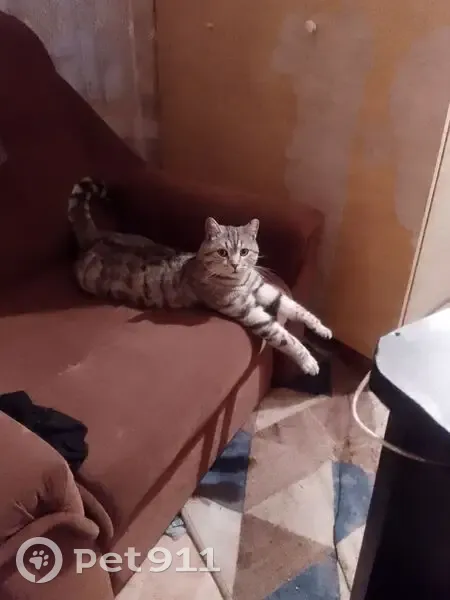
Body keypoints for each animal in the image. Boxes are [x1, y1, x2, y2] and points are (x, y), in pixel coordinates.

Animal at [68, 177, 332, 375]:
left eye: (244, 252)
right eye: (223, 252)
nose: (235, 264)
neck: (241, 281)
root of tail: (93, 238)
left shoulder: (263, 289)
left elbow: (296, 308)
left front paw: (321, 328)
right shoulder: (249, 312)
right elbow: (284, 337)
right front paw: (308, 361)